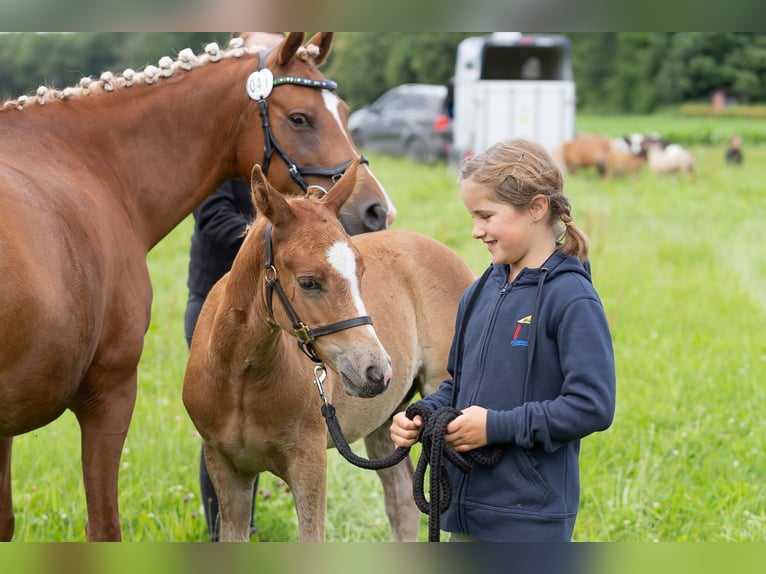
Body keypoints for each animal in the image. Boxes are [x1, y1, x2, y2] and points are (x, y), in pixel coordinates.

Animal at [0, 32, 396, 544]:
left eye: (345, 112)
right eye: (299, 117)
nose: (376, 209)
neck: (90, 167)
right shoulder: (110, 392)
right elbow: (105, 526)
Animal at [185, 160, 474, 544]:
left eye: (361, 271)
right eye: (308, 281)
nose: (376, 370)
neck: (240, 378)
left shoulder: (308, 465)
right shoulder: (225, 469)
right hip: (387, 420)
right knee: (401, 500)